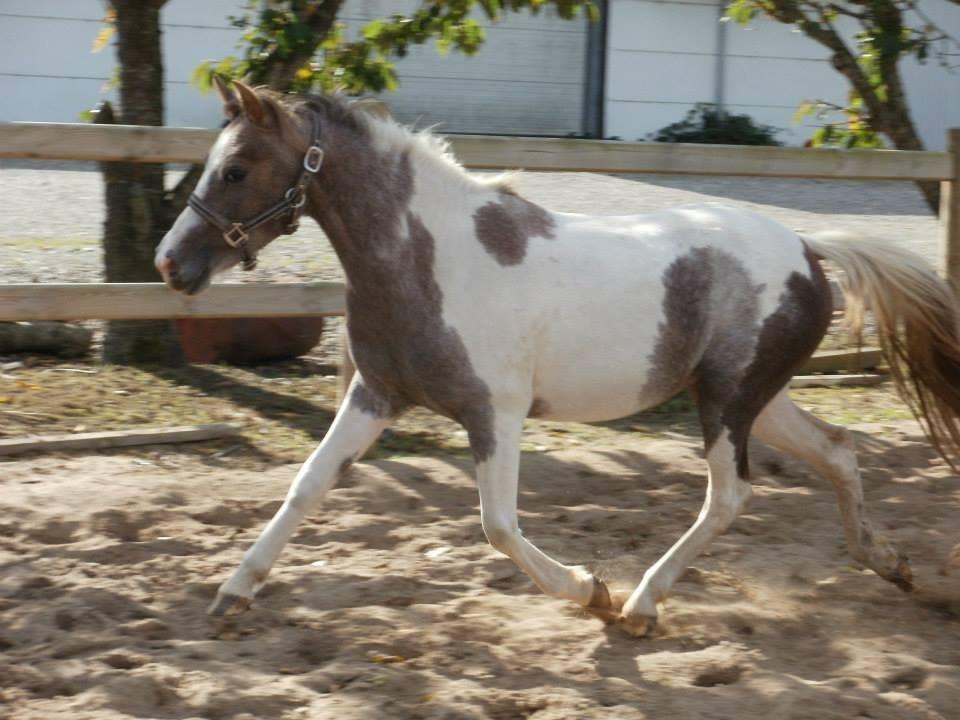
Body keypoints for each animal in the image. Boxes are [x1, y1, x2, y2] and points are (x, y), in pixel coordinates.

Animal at [154, 79, 960, 640]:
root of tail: (809, 249)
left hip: (727, 401)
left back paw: (640, 605)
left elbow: (498, 526)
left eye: (238, 168)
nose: (169, 264)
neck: (429, 258)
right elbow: (306, 487)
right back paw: (890, 564)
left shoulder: (496, 413)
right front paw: (230, 595)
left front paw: (592, 592)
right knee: (839, 449)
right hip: (754, 397)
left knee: (730, 496)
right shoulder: (376, 395)